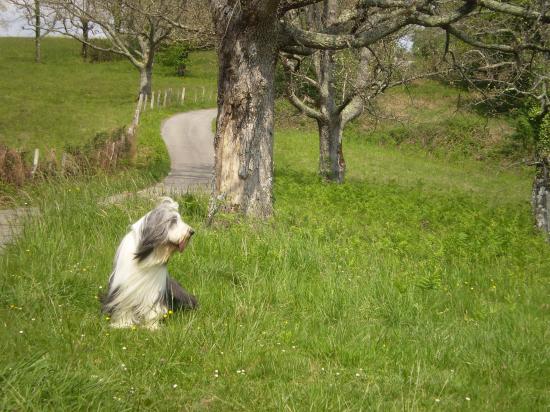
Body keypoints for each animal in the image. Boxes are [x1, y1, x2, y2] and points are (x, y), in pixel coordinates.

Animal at [103, 196, 198, 328]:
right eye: (173, 221)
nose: (191, 232)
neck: (144, 258)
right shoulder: (123, 289)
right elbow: (123, 308)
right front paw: (123, 324)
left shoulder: (153, 291)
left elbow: (152, 309)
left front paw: (151, 327)